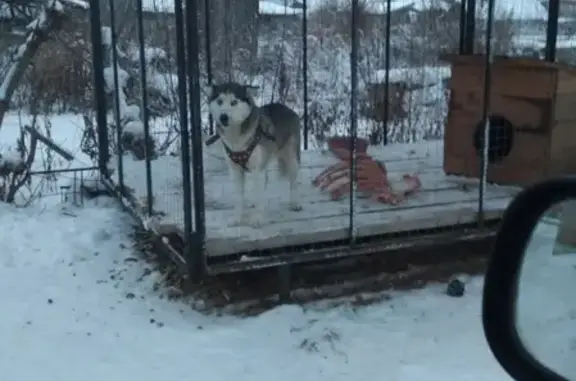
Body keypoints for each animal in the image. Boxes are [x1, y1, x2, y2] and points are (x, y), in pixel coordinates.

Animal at [209, 81, 304, 226]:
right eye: (219, 101)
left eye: (234, 102)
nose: (223, 117)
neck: (236, 139)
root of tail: (286, 108)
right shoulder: (235, 170)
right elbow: (239, 197)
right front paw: (237, 218)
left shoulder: (258, 169)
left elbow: (259, 195)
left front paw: (257, 219)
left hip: (292, 158)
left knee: (293, 182)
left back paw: (295, 203)